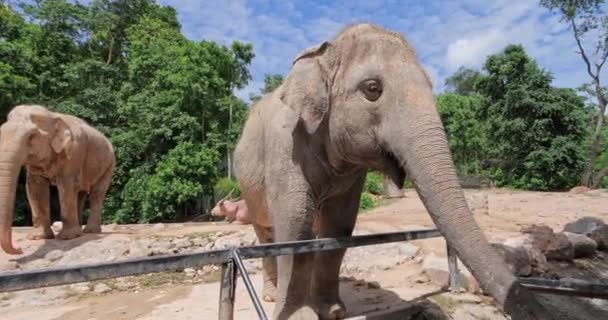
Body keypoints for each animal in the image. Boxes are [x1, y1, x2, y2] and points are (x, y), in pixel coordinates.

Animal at [0, 105, 116, 255]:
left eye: (31, 136)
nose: (19, 249)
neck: (52, 116)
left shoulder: (74, 152)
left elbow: (66, 186)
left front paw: (67, 237)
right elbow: (35, 188)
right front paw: (38, 237)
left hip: (109, 165)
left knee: (96, 193)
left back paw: (90, 231)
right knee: (80, 193)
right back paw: (80, 231)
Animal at [234, 23, 556, 320]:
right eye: (372, 89)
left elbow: (339, 226)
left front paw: (333, 311)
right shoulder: (285, 147)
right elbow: (295, 222)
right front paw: (301, 317)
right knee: (267, 233)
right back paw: (271, 294)